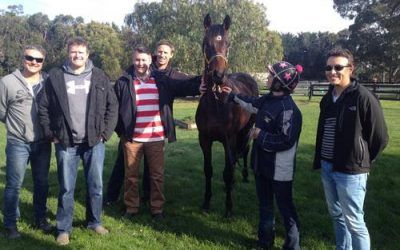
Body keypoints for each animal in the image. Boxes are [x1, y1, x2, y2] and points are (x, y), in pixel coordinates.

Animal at [196, 13, 260, 217]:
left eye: (228, 43)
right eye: (205, 43)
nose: (218, 75)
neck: (217, 102)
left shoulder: (228, 139)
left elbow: (228, 170)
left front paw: (229, 208)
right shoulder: (205, 140)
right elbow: (208, 170)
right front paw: (206, 202)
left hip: (246, 130)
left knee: (245, 151)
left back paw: (245, 176)